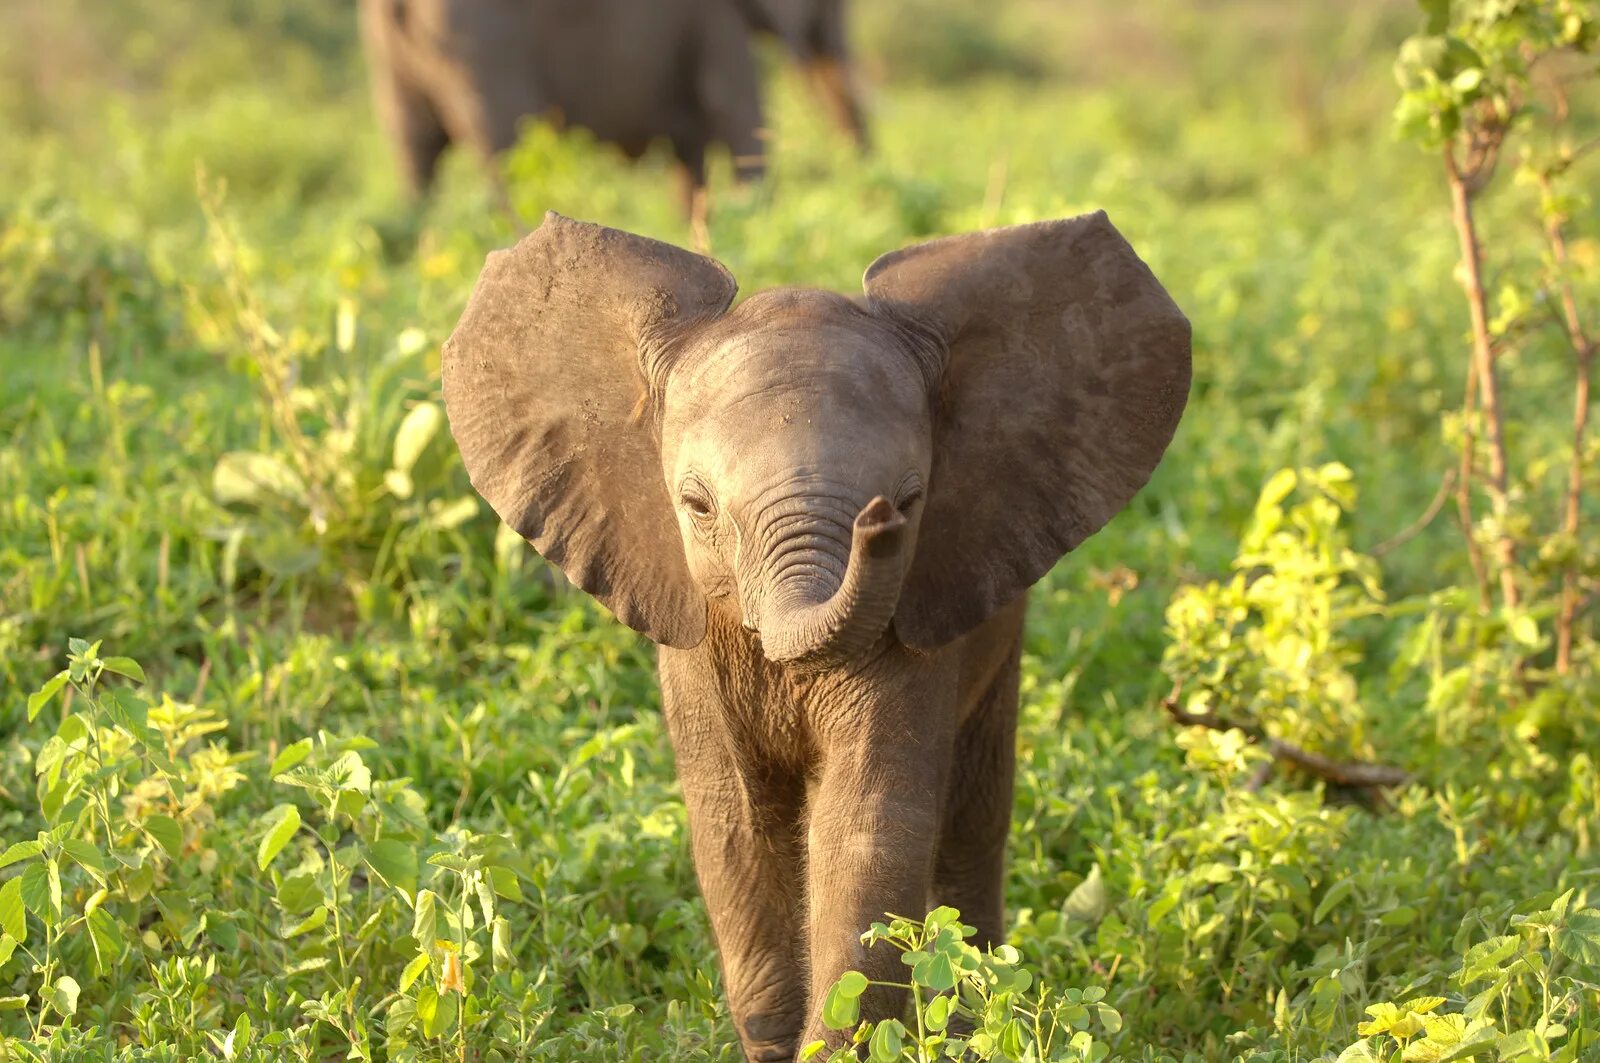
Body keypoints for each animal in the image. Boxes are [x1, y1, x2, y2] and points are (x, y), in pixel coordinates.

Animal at [438, 209, 1190, 1056]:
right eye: (696, 505)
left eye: (913, 498)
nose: (878, 523)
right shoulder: (696, 640)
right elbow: (735, 823)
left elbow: (865, 822)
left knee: (975, 818)